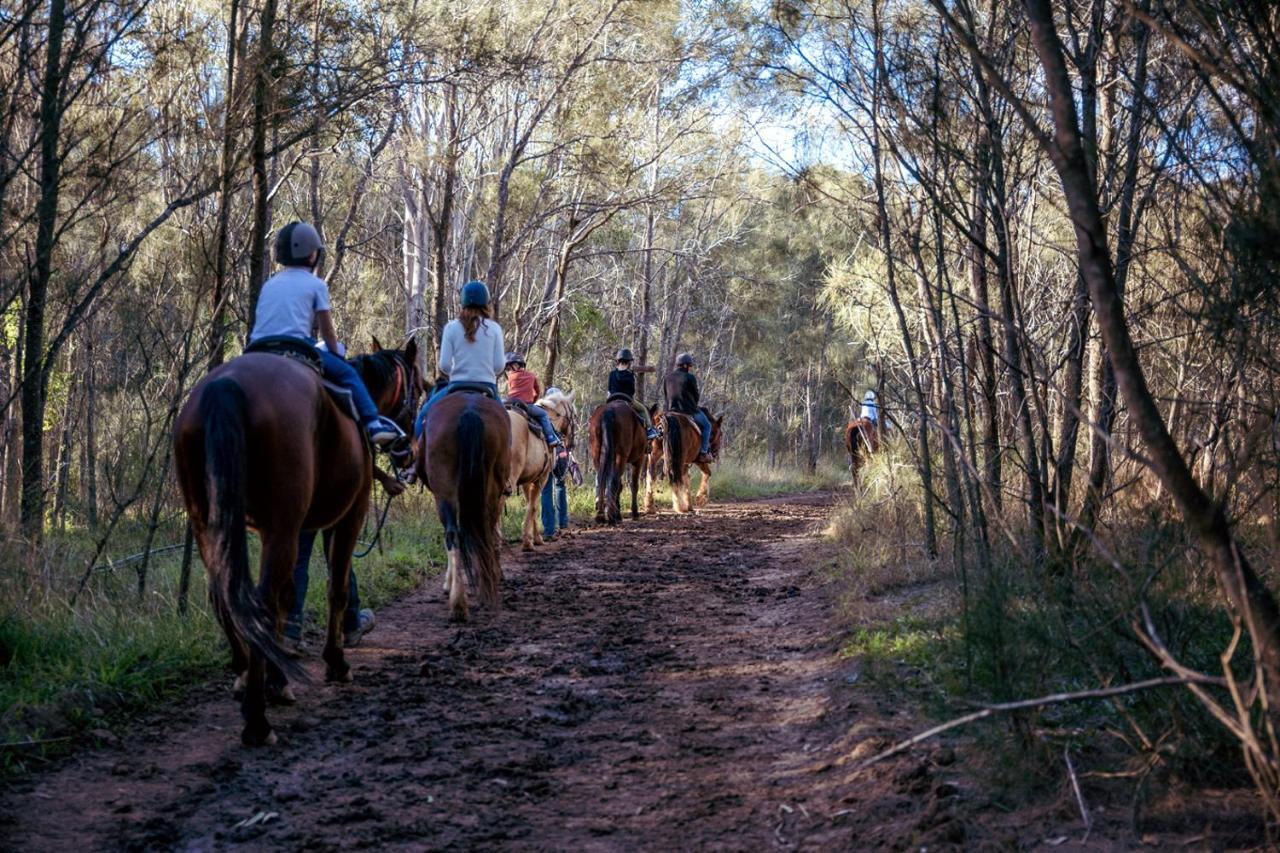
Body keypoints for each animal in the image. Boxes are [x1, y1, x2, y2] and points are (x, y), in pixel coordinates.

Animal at [174, 335, 419, 742]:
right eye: (420, 387)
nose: (409, 449)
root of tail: (225, 388)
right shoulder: (346, 517)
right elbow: (336, 587)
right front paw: (335, 661)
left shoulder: (297, 528)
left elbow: (290, 594)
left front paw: (277, 674)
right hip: (281, 526)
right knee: (260, 602)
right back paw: (257, 721)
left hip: (208, 521)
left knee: (227, 598)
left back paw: (245, 676)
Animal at [504, 389, 576, 548]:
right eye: (574, 416)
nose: (571, 444)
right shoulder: (542, 478)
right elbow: (535, 506)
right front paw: (529, 541)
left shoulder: (527, 480)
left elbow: (531, 505)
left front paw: (534, 537)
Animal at [588, 394, 650, 525]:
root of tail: (608, 411)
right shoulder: (638, 459)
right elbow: (633, 484)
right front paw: (634, 513)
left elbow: (619, 486)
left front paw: (618, 513)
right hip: (621, 456)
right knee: (614, 480)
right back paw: (611, 516)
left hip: (597, 453)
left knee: (602, 479)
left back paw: (601, 514)